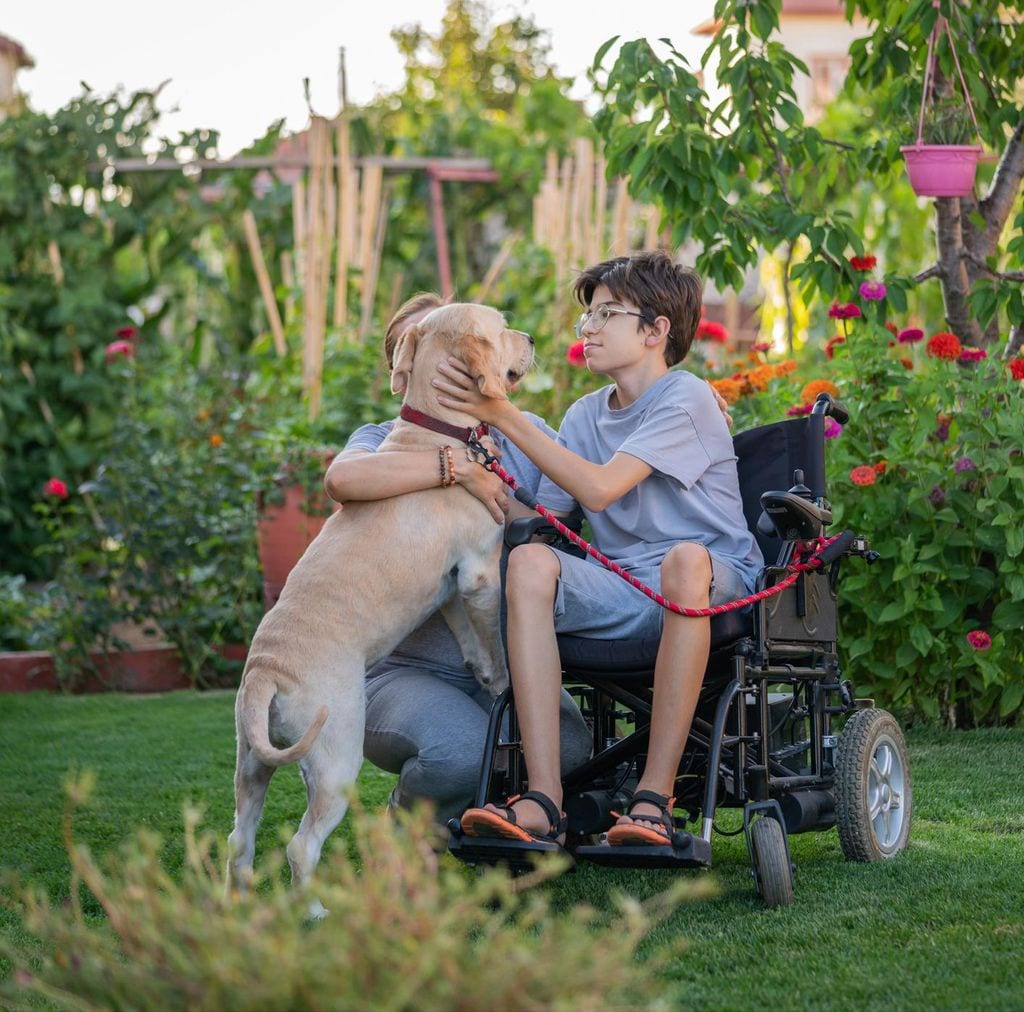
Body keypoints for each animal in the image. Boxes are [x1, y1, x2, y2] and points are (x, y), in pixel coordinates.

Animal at [228, 303, 532, 909]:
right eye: (501, 325)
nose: (531, 338)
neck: (436, 432)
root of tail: (266, 671)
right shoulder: (480, 574)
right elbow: (495, 639)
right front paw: (507, 682)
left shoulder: (451, 589)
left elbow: (474, 647)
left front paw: (488, 680)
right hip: (336, 755)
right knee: (300, 846)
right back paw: (315, 912)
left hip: (253, 762)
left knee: (238, 839)